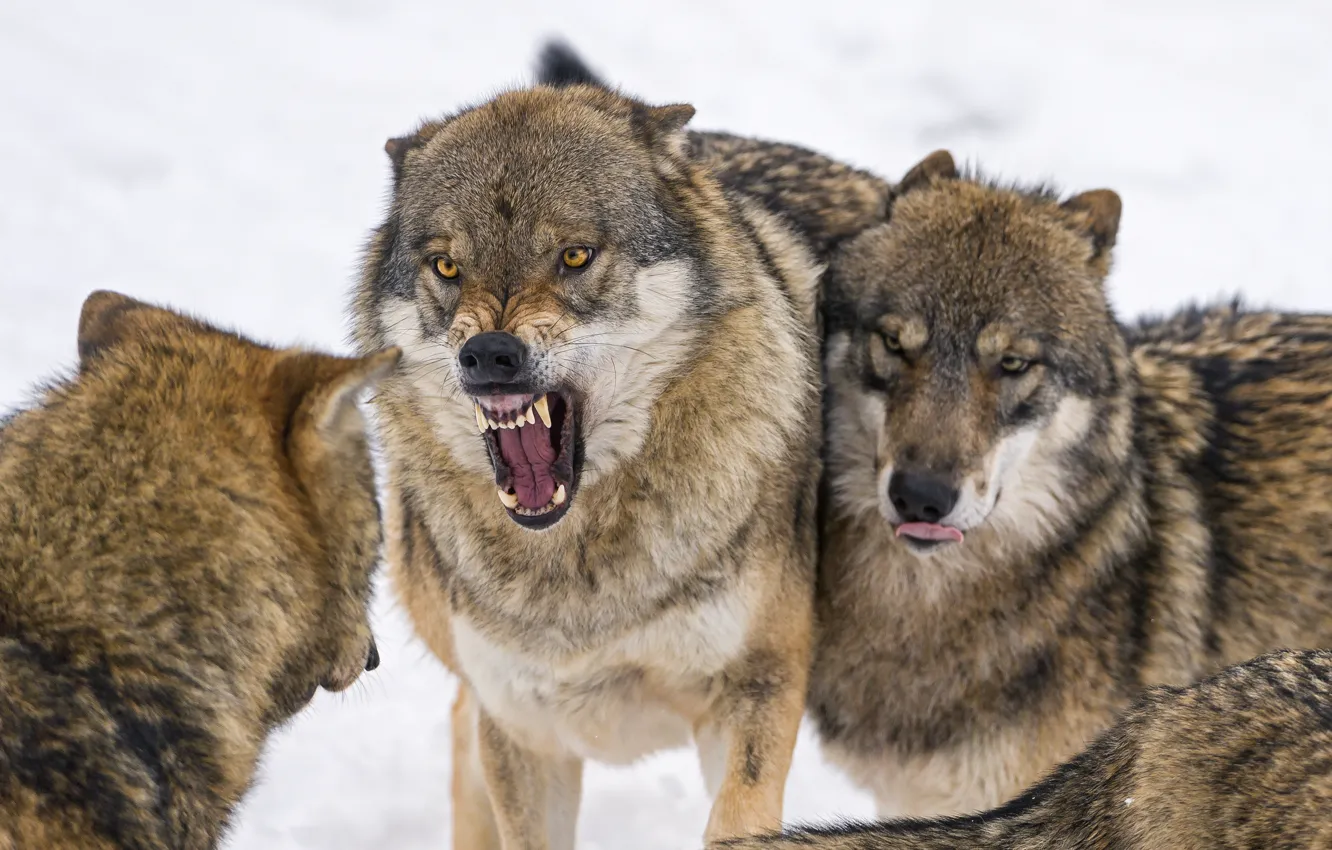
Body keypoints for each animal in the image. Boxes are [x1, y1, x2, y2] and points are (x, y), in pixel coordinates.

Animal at [350, 74, 824, 846]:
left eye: (574, 256)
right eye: (447, 266)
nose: (488, 355)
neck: (581, 568)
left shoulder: (758, 686)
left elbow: (740, 819)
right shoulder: (522, 727)